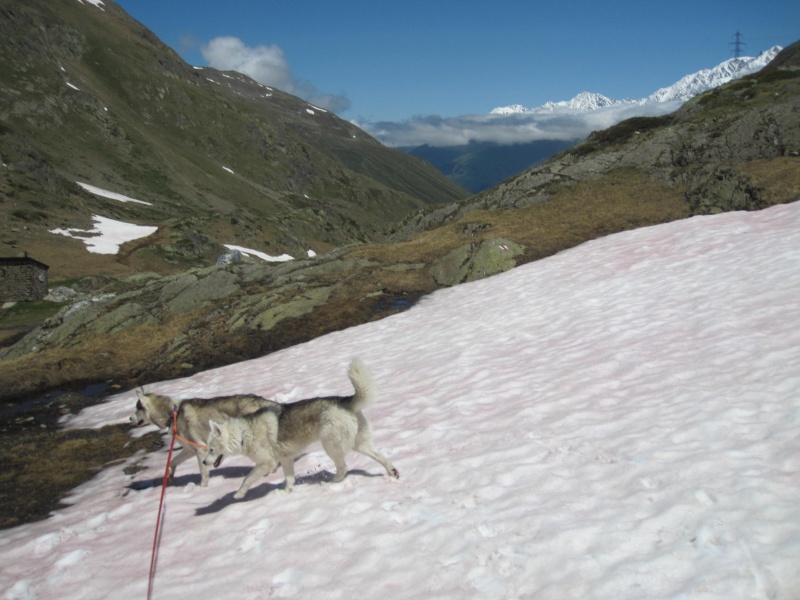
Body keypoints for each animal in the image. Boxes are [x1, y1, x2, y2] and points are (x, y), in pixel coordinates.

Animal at [133, 390, 280, 488]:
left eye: (136, 409)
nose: (130, 418)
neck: (173, 414)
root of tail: (261, 400)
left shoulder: (199, 449)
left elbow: (203, 473)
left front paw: (202, 488)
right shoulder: (189, 449)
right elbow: (172, 461)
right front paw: (170, 474)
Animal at [203, 358, 396, 500]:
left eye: (211, 449)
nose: (204, 463)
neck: (243, 434)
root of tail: (345, 401)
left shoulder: (267, 463)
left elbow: (247, 479)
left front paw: (239, 494)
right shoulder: (286, 459)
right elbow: (289, 479)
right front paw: (285, 493)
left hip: (331, 446)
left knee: (343, 468)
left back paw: (330, 483)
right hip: (359, 444)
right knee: (379, 457)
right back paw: (392, 472)